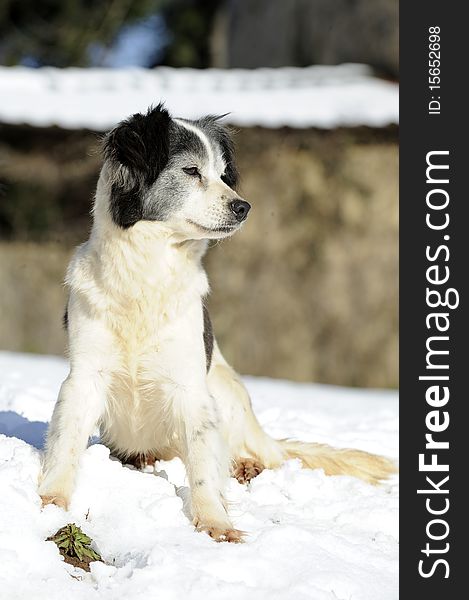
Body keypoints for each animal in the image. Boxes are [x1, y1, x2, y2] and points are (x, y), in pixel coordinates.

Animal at [38, 104, 394, 544]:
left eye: (224, 175)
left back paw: (246, 465)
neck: (147, 273)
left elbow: (204, 469)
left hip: (224, 389)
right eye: (192, 171)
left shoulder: (191, 389)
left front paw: (214, 523)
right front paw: (51, 499)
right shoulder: (85, 377)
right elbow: (66, 444)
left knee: (247, 453)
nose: (244, 207)